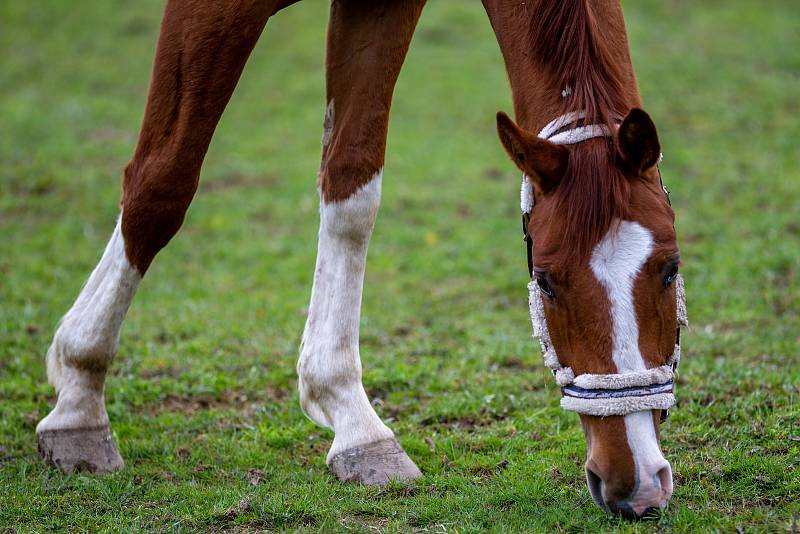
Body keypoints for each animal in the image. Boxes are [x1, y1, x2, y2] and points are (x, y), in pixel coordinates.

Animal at [36, 0, 680, 520]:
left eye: (671, 269)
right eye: (544, 282)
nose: (636, 483)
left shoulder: (380, 5)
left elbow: (351, 185)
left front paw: (349, 415)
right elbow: (161, 182)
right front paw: (79, 402)